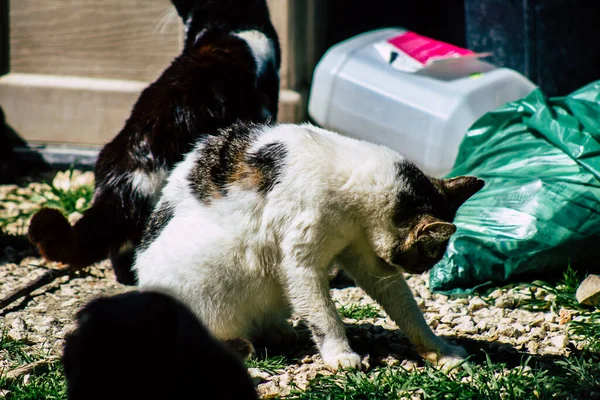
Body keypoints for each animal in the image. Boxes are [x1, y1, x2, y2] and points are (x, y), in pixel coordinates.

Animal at [134, 122, 486, 372]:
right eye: (423, 259)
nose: (420, 272)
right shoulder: (300, 263)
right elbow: (324, 315)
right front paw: (340, 355)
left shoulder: (367, 258)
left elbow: (406, 307)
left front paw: (438, 349)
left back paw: (276, 331)